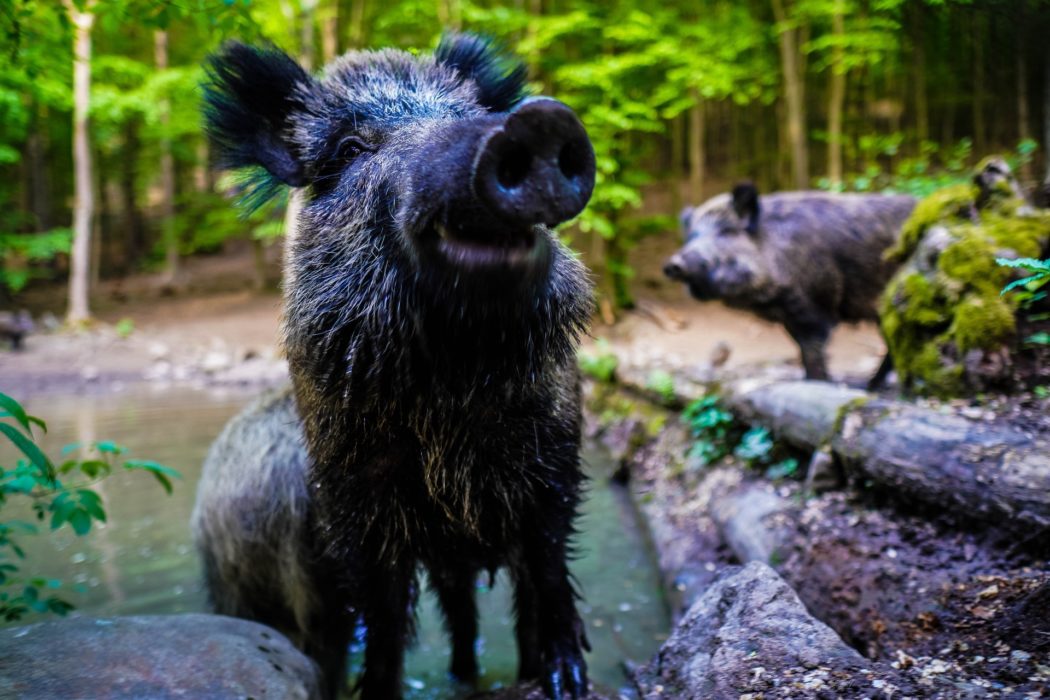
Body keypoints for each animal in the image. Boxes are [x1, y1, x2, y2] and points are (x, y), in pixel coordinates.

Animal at [192, 34, 596, 700]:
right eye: (350, 149)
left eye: (465, 113)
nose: (536, 122)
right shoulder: (355, 501)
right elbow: (384, 615)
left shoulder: (555, 461)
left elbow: (549, 573)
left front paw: (567, 681)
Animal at [664, 183, 916, 385]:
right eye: (692, 236)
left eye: (726, 231)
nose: (673, 264)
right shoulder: (790, 317)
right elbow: (801, 350)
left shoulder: (817, 307)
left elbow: (812, 351)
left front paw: (818, 382)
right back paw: (872, 385)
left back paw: (871, 385)